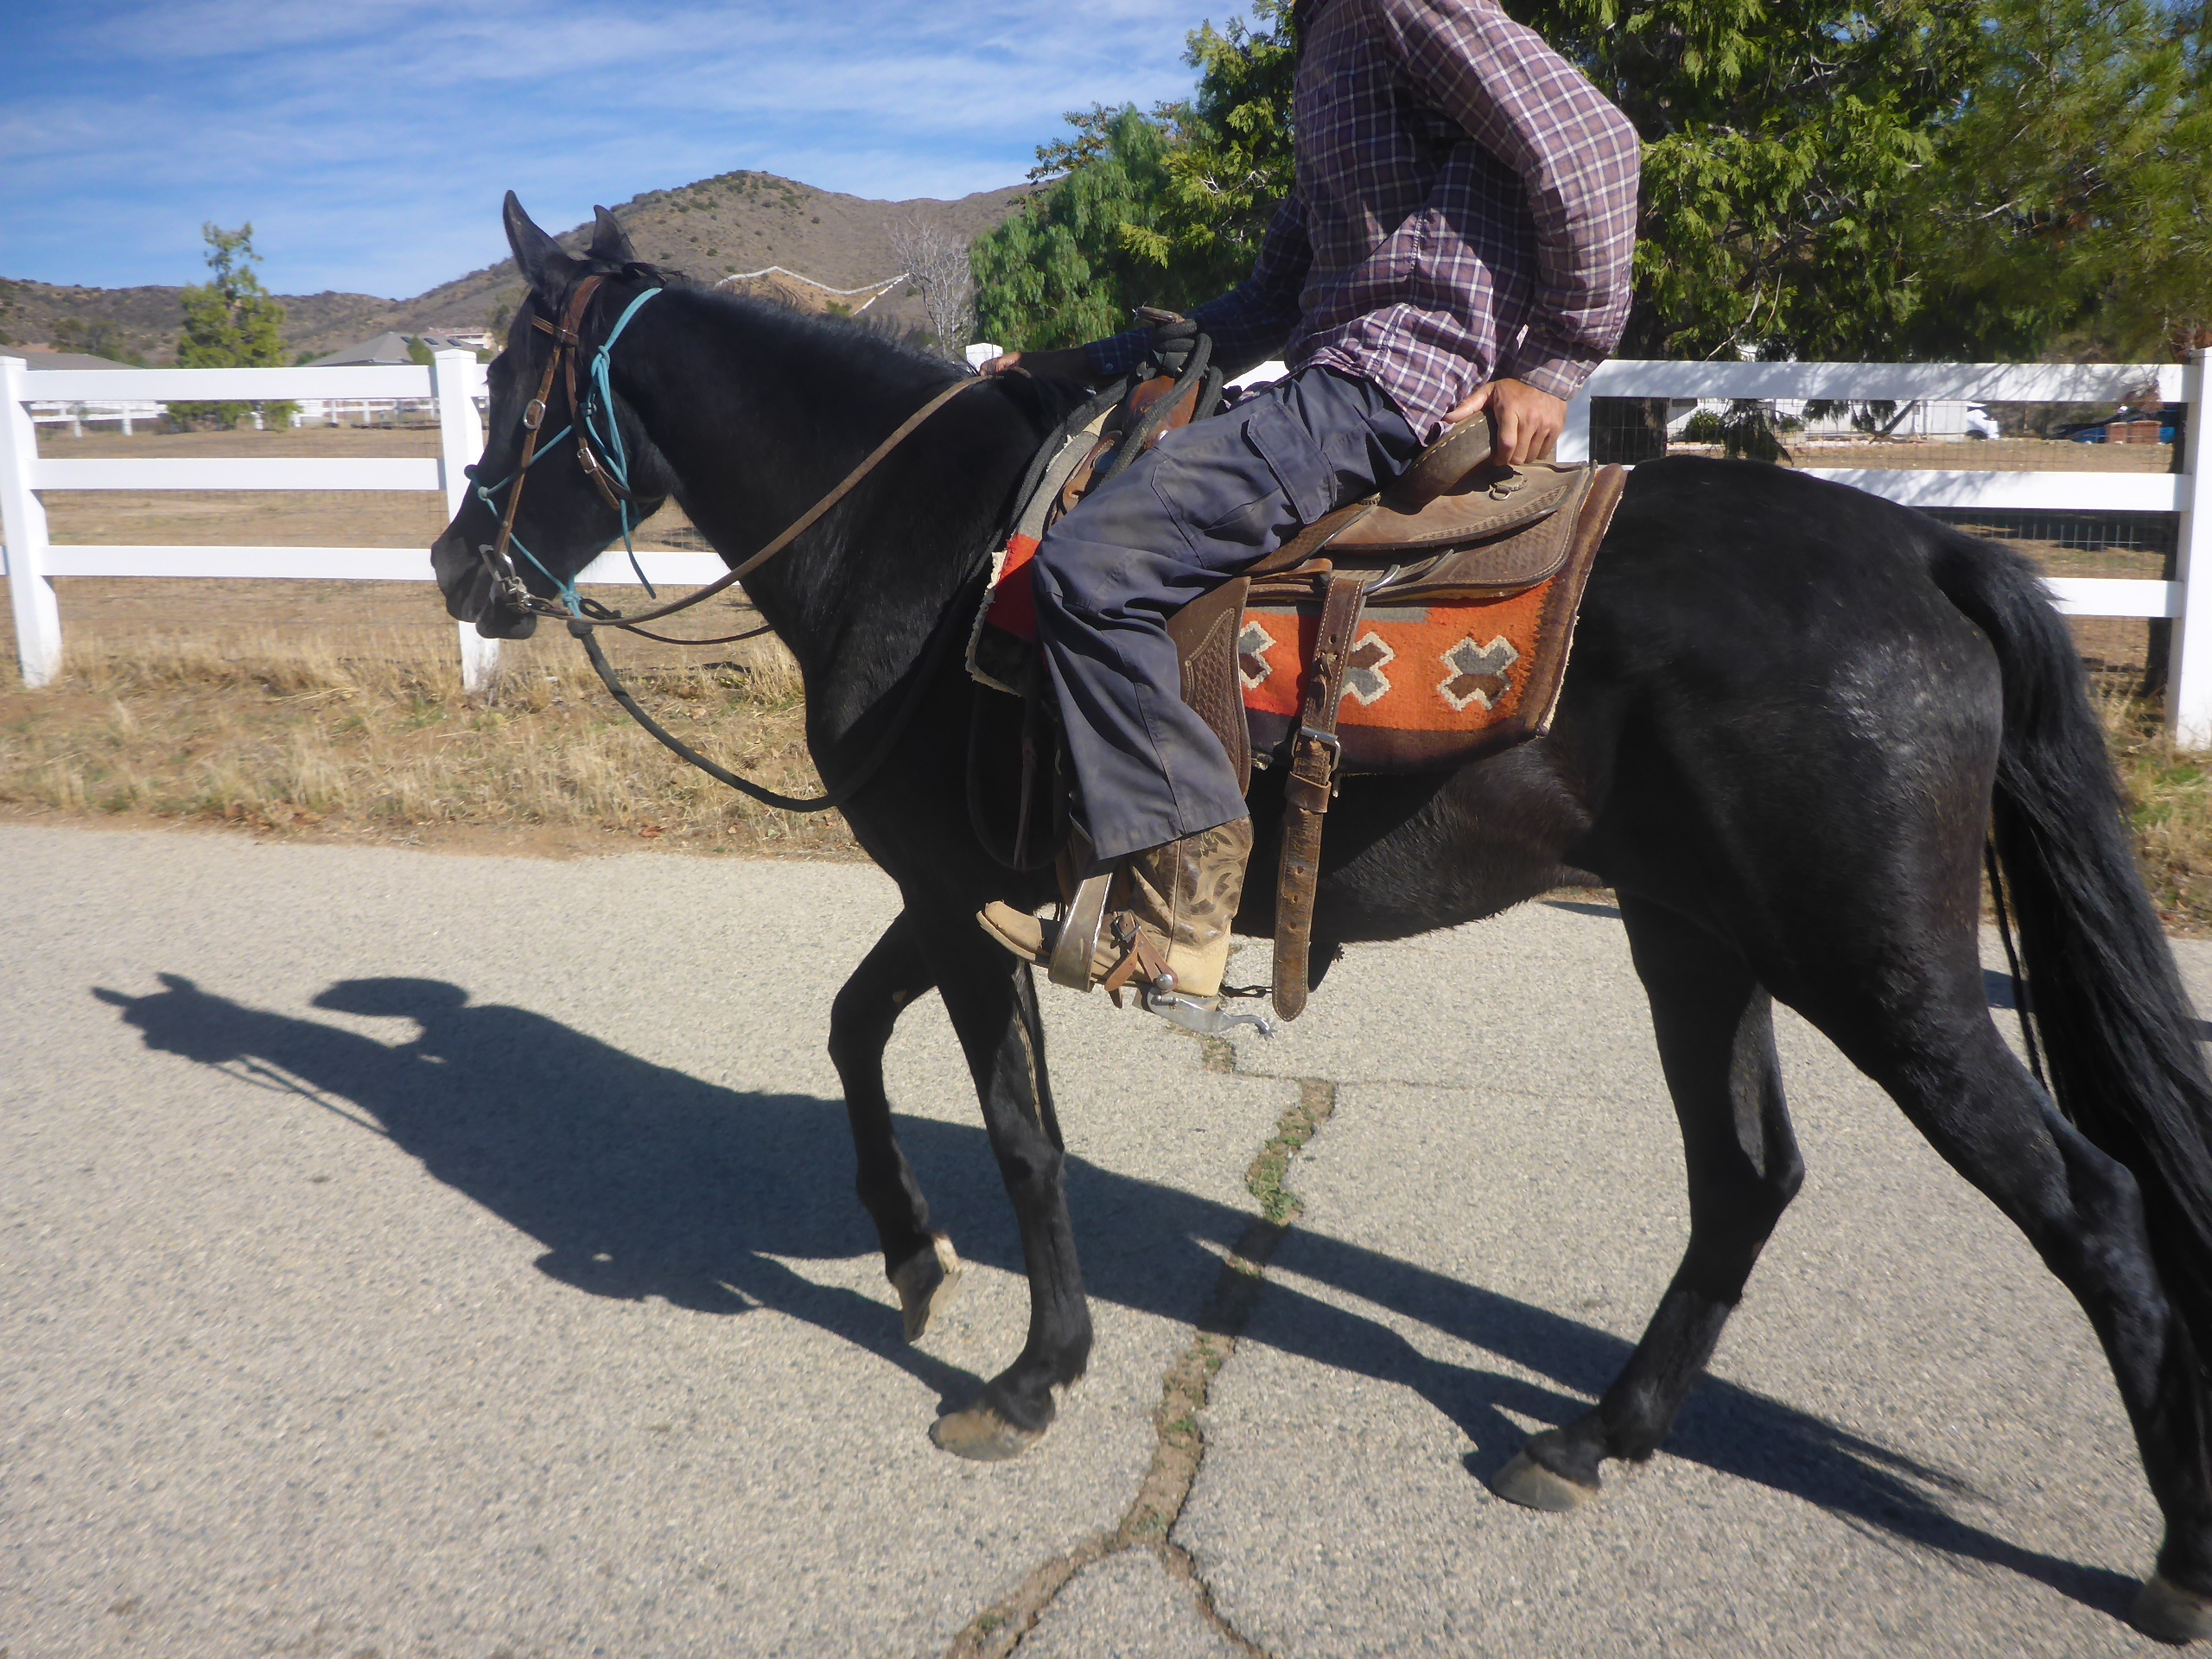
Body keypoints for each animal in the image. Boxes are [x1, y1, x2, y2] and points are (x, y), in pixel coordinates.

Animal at [429, 195, 2212, 1642]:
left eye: (517, 393)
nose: (459, 571)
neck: (926, 547)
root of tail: (1930, 551)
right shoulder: (964, 889)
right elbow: (854, 1028)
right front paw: (913, 1254)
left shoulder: (950, 891)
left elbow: (1019, 1130)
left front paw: (1030, 1375)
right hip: (1696, 938)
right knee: (1746, 1179)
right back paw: (1592, 1440)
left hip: (1878, 965)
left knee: (2090, 1203)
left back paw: (2175, 1560)